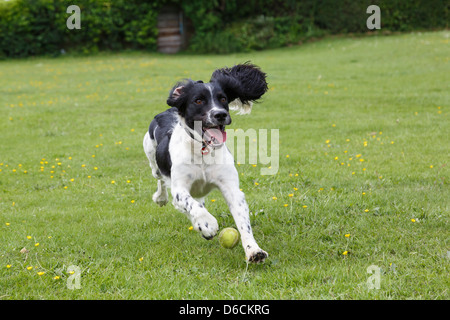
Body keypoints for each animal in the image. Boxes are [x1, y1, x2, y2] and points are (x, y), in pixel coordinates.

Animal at [143, 62, 268, 262]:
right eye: (198, 101)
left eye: (223, 98)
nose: (220, 114)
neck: (202, 150)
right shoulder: (179, 188)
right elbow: (189, 203)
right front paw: (207, 223)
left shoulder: (231, 188)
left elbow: (243, 222)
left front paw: (254, 250)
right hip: (151, 156)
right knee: (160, 179)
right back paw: (161, 198)